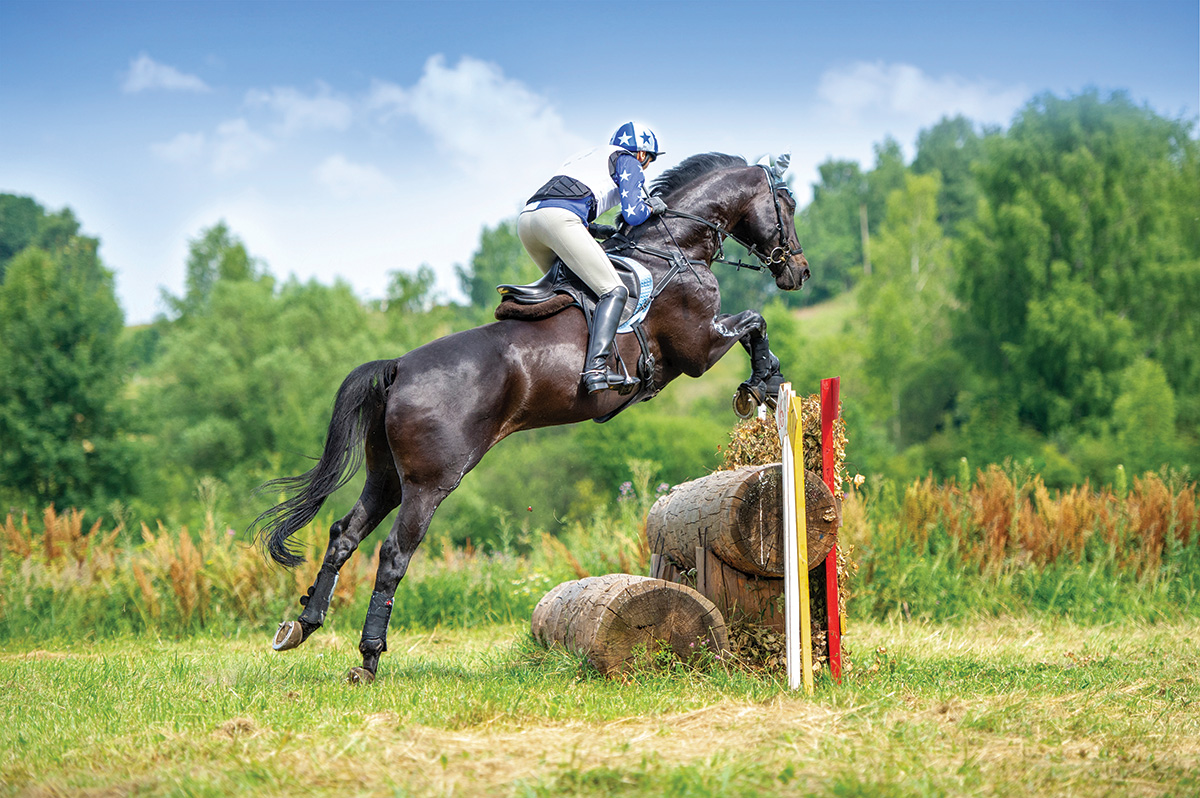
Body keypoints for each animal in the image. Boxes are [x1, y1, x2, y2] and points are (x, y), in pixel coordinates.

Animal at [252, 152, 806, 681]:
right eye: (789, 206)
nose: (797, 272)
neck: (674, 246)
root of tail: (399, 368)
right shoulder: (698, 348)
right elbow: (755, 323)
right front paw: (763, 383)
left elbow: (754, 324)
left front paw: (763, 386)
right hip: (429, 482)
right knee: (392, 555)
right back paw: (368, 659)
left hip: (386, 475)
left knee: (343, 534)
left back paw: (301, 625)